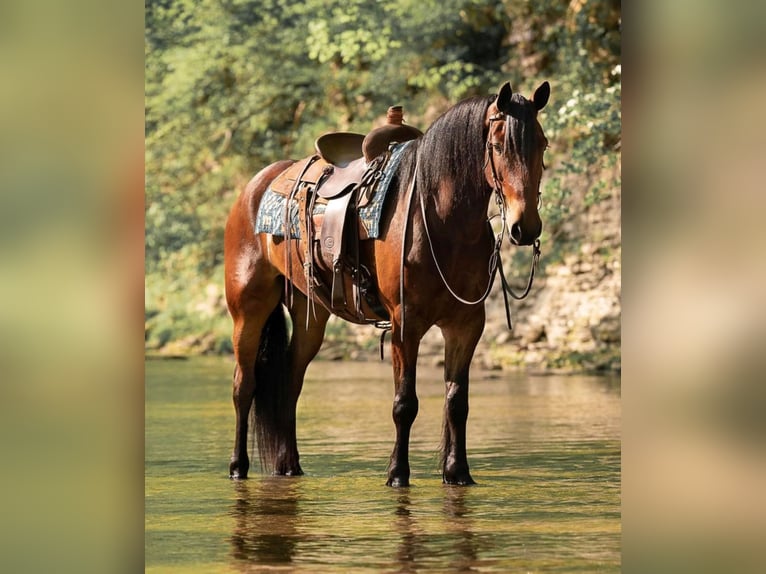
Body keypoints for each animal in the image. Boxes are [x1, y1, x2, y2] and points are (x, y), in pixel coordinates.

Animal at [224, 80, 552, 486]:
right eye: (498, 145)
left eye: (542, 144)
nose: (526, 227)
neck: (443, 221)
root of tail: (254, 186)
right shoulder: (405, 325)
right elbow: (404, 403)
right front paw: (398, 473)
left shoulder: (466, 325)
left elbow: (457, 402)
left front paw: (457, 472)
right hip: (247, 311)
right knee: (244, 386)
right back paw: (237, 466)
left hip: (309, 315)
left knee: (290, 382)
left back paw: (290, 466)